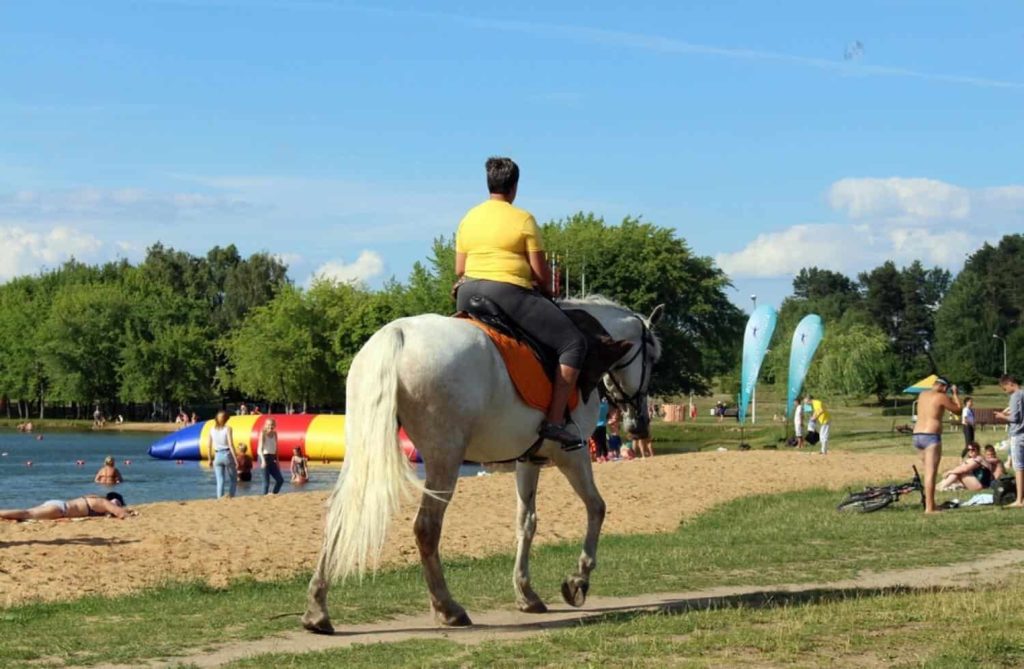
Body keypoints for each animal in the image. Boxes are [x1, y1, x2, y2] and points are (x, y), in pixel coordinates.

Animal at [301, 297, 663, 631]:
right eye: (653, 358)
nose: (640, 424)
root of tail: (398, 332)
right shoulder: (571, 453)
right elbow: (596, 507)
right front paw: (579, 580)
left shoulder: (529, 459)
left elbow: (526, 522)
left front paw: (526, 593)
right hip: (445, 457)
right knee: (426, 527)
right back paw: (448, 608)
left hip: (364, 447)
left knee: (340, 513)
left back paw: (318, 608)